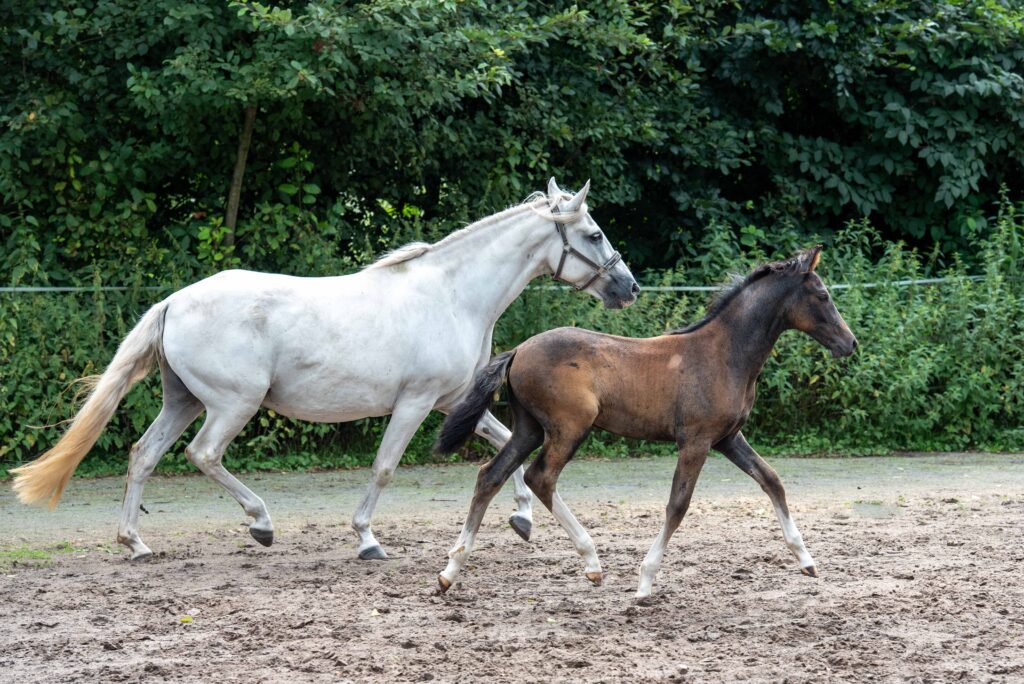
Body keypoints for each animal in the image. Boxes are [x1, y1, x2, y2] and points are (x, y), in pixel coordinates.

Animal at [12, 176, 638, 561]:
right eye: (593, 233)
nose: (628, 287)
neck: (453, 295)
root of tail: (174, 302)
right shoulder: (414, 403)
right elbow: (384, 468)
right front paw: (366, 539)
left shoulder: (451, 402)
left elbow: (504, 442)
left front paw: (523, 519)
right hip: (232, 404)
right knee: (203, 454)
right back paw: (261, 524)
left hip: (182, 399)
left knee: (143, 454)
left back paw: (136, 544)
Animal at [436, 246, 860, 597]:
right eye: (823, 296)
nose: (850, 343)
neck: (725, 353)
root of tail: (519, 350)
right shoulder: (696, 442)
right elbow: (678, 505)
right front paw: (645, 581)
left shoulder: (728, 438)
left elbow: (772, 480)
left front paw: (807, 561)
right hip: (568, 428)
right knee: (541, 477)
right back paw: (591, 562)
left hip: (529, 428)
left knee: (491, 475)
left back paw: (449, 572)